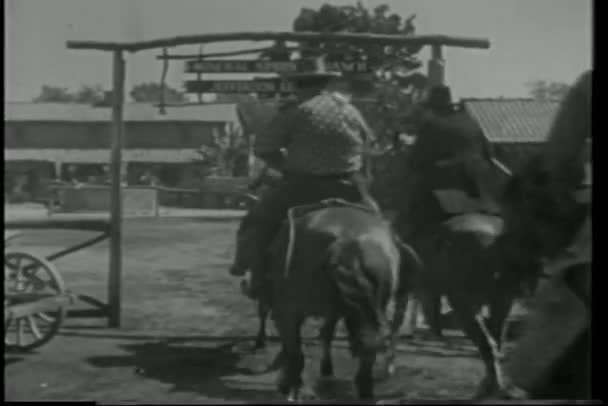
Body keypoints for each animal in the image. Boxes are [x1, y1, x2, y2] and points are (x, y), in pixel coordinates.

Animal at [258, 201, 420, 402]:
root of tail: (345, 241)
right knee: (369, 346)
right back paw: (364, 389)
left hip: (288, 310)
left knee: (296, 354)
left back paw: (294, 387)